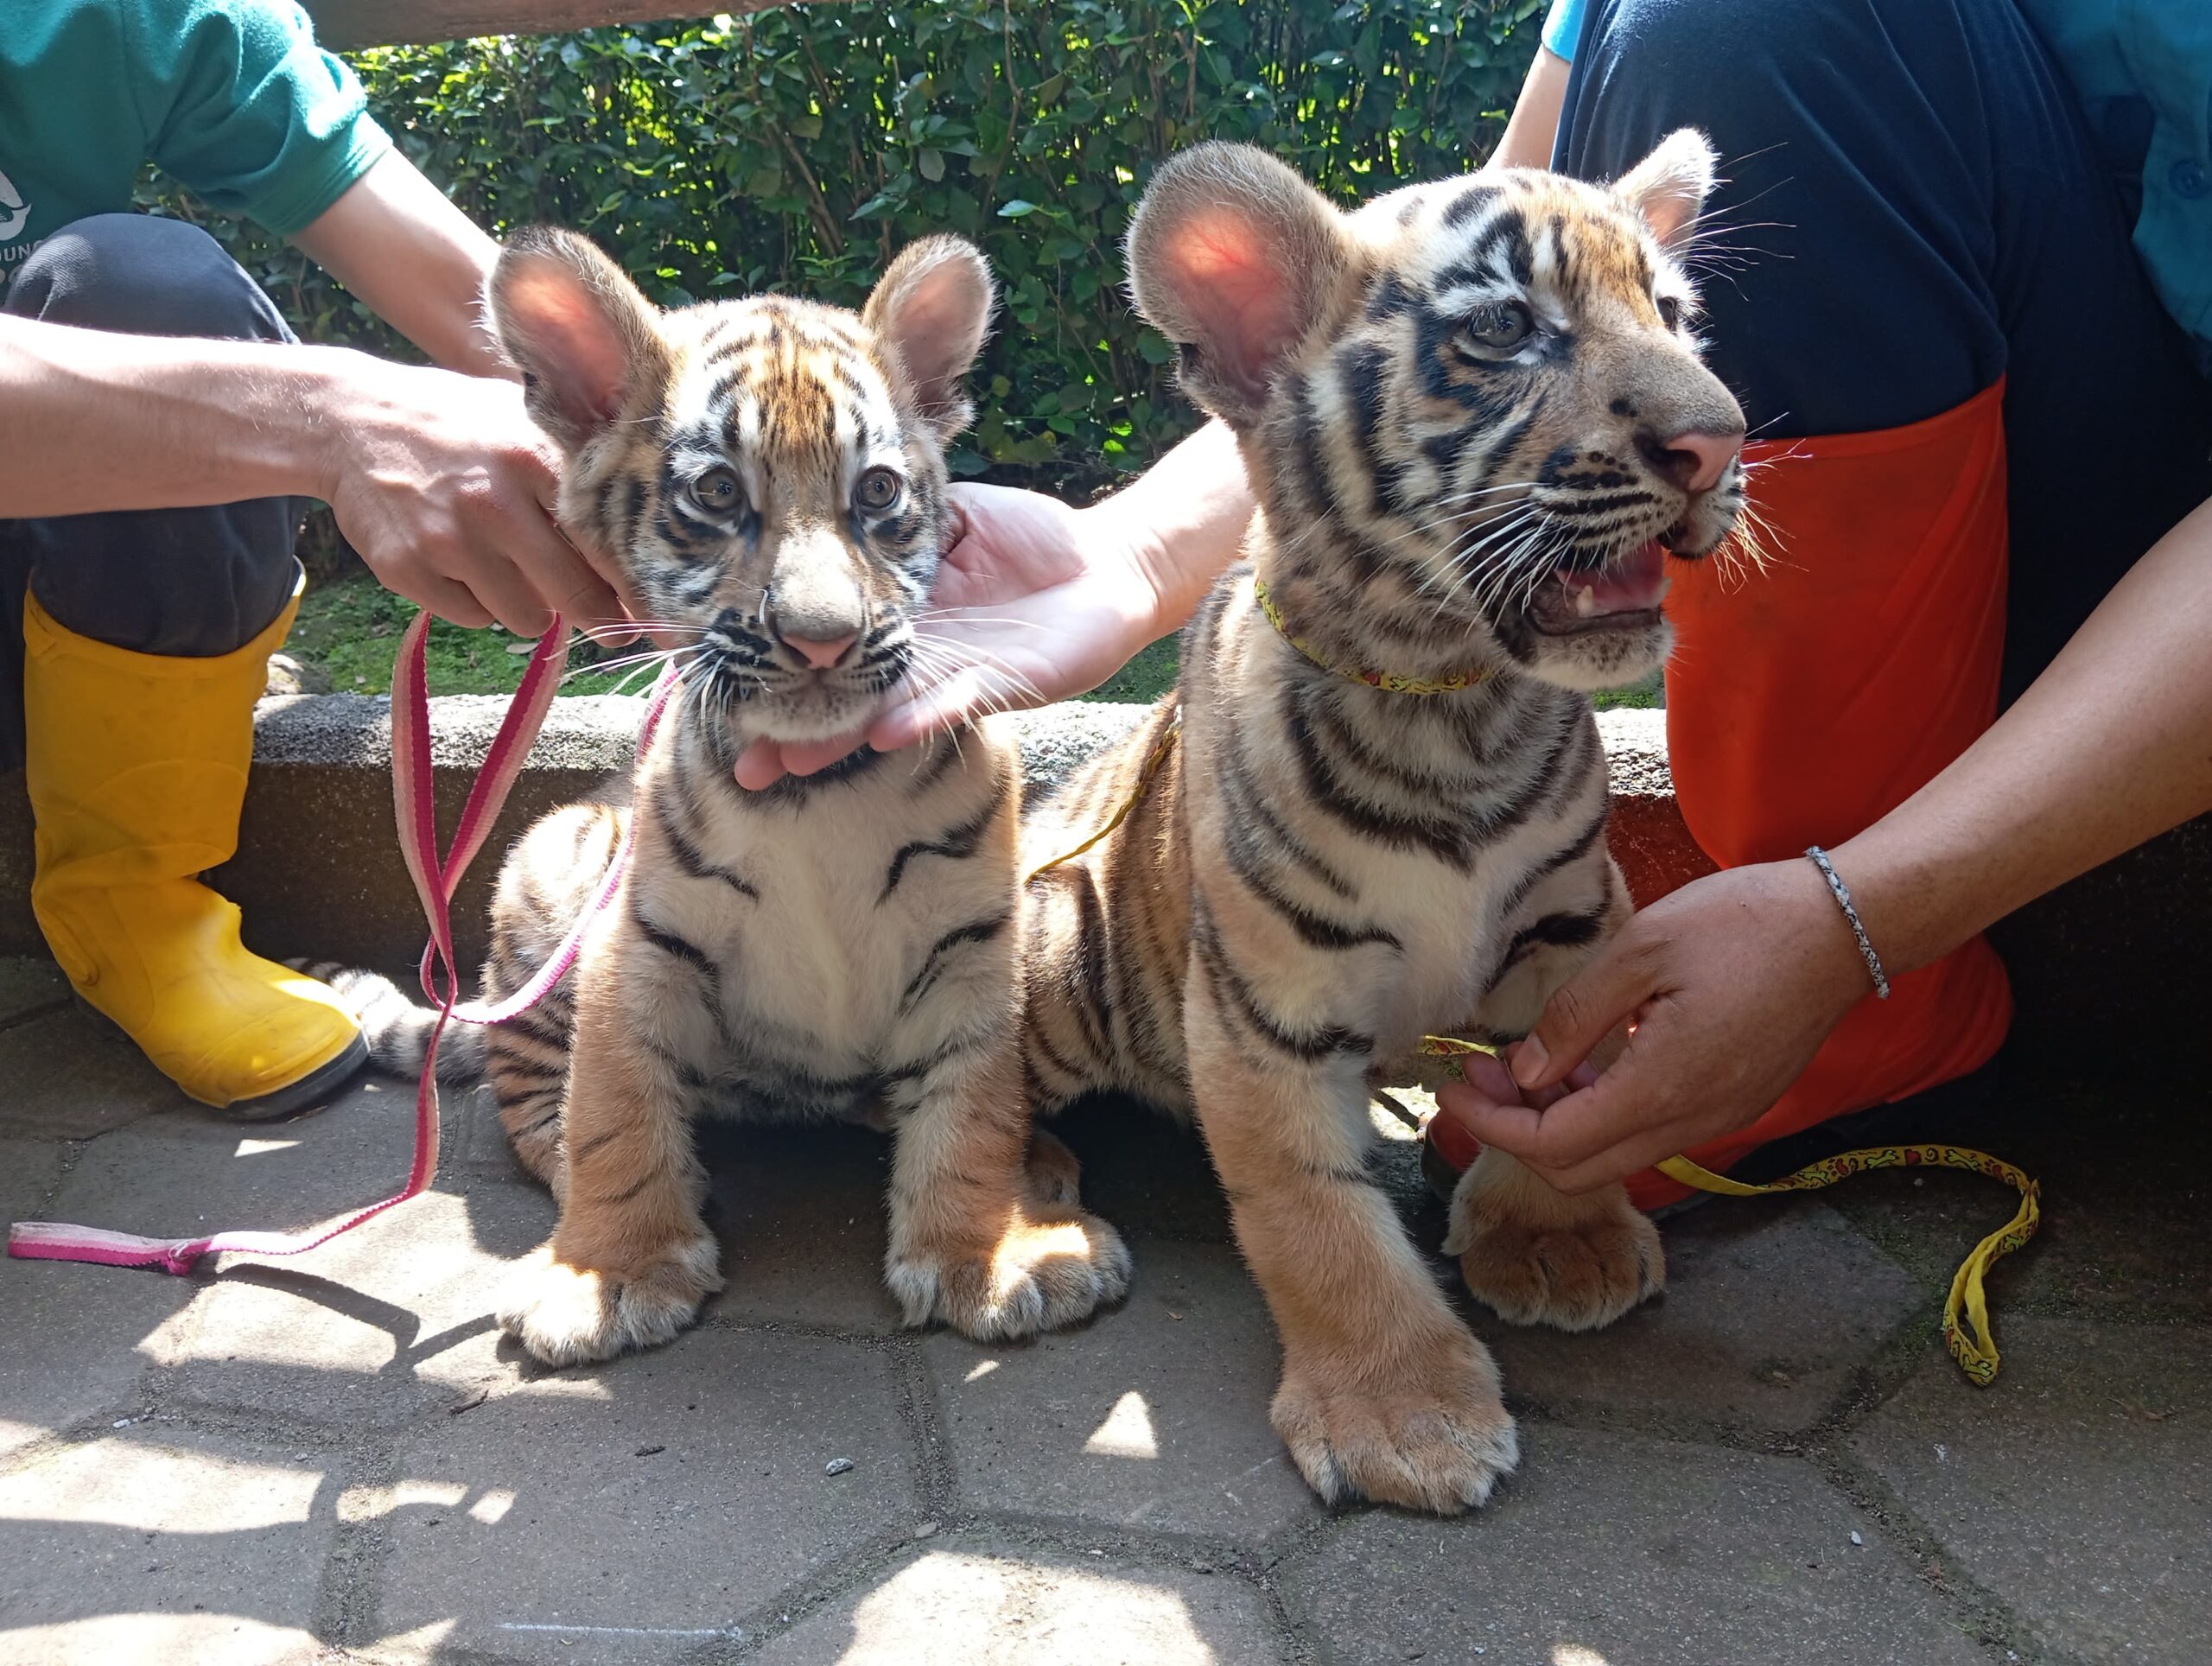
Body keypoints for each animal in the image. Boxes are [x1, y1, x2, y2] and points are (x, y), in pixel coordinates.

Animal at [326, 226, 1129, 1367]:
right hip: (549, 862)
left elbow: (971, 1101)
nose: (822, 637)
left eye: (876, 493)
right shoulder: (634, 948)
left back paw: (1042, 1159)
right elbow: (615, 1110)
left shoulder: (974, 946)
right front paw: (609, 1273)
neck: (817, 784)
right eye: (713, 495)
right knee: (535, 1103)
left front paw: (988, 1249)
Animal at [1018, 132, 1747, 1514]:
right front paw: (1403, 1420)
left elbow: (1558, 1092)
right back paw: (1028, 1219)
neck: (1449, 703)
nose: (1720, 437)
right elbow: (1317, 1219)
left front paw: (1562, 1245)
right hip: (1051, 954)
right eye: (1507, 327)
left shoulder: (1573, 927)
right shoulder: (1264, 1009)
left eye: (1676, 317)